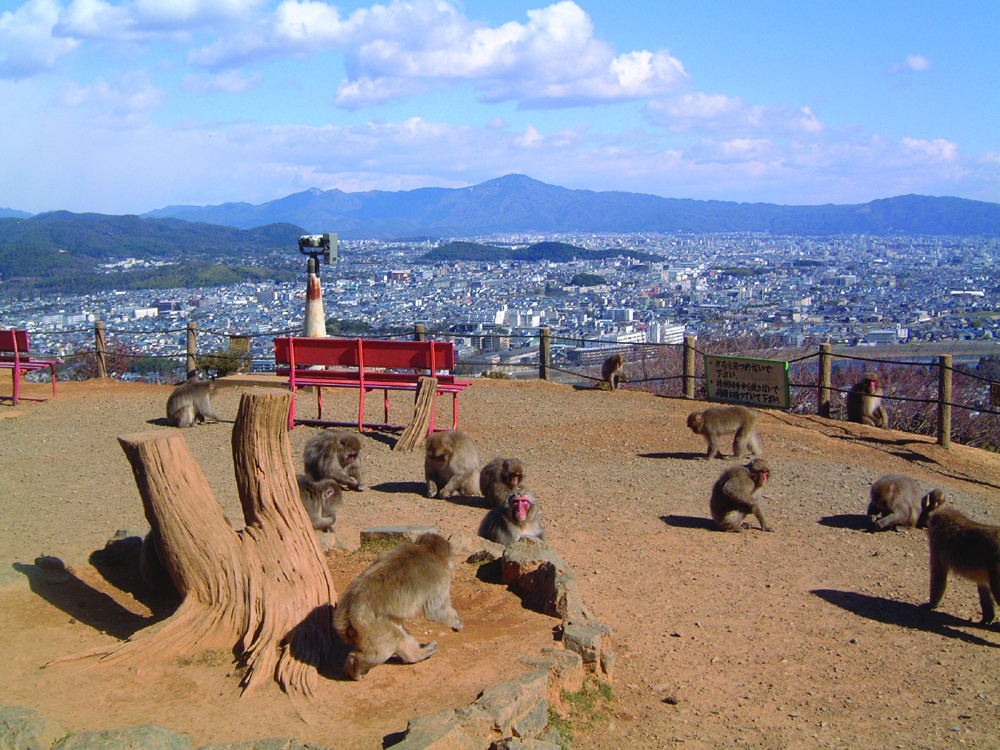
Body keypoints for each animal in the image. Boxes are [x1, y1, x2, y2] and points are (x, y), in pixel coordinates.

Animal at [334, 532, 462, 684]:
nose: (452, 562)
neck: (427, 549)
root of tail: (347, 608)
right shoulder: (441, 574)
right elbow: (437, 610)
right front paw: (457, 623)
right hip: (369, 622)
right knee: (383, 648)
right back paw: (355, 668)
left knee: (398, 633)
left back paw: (418, 654)